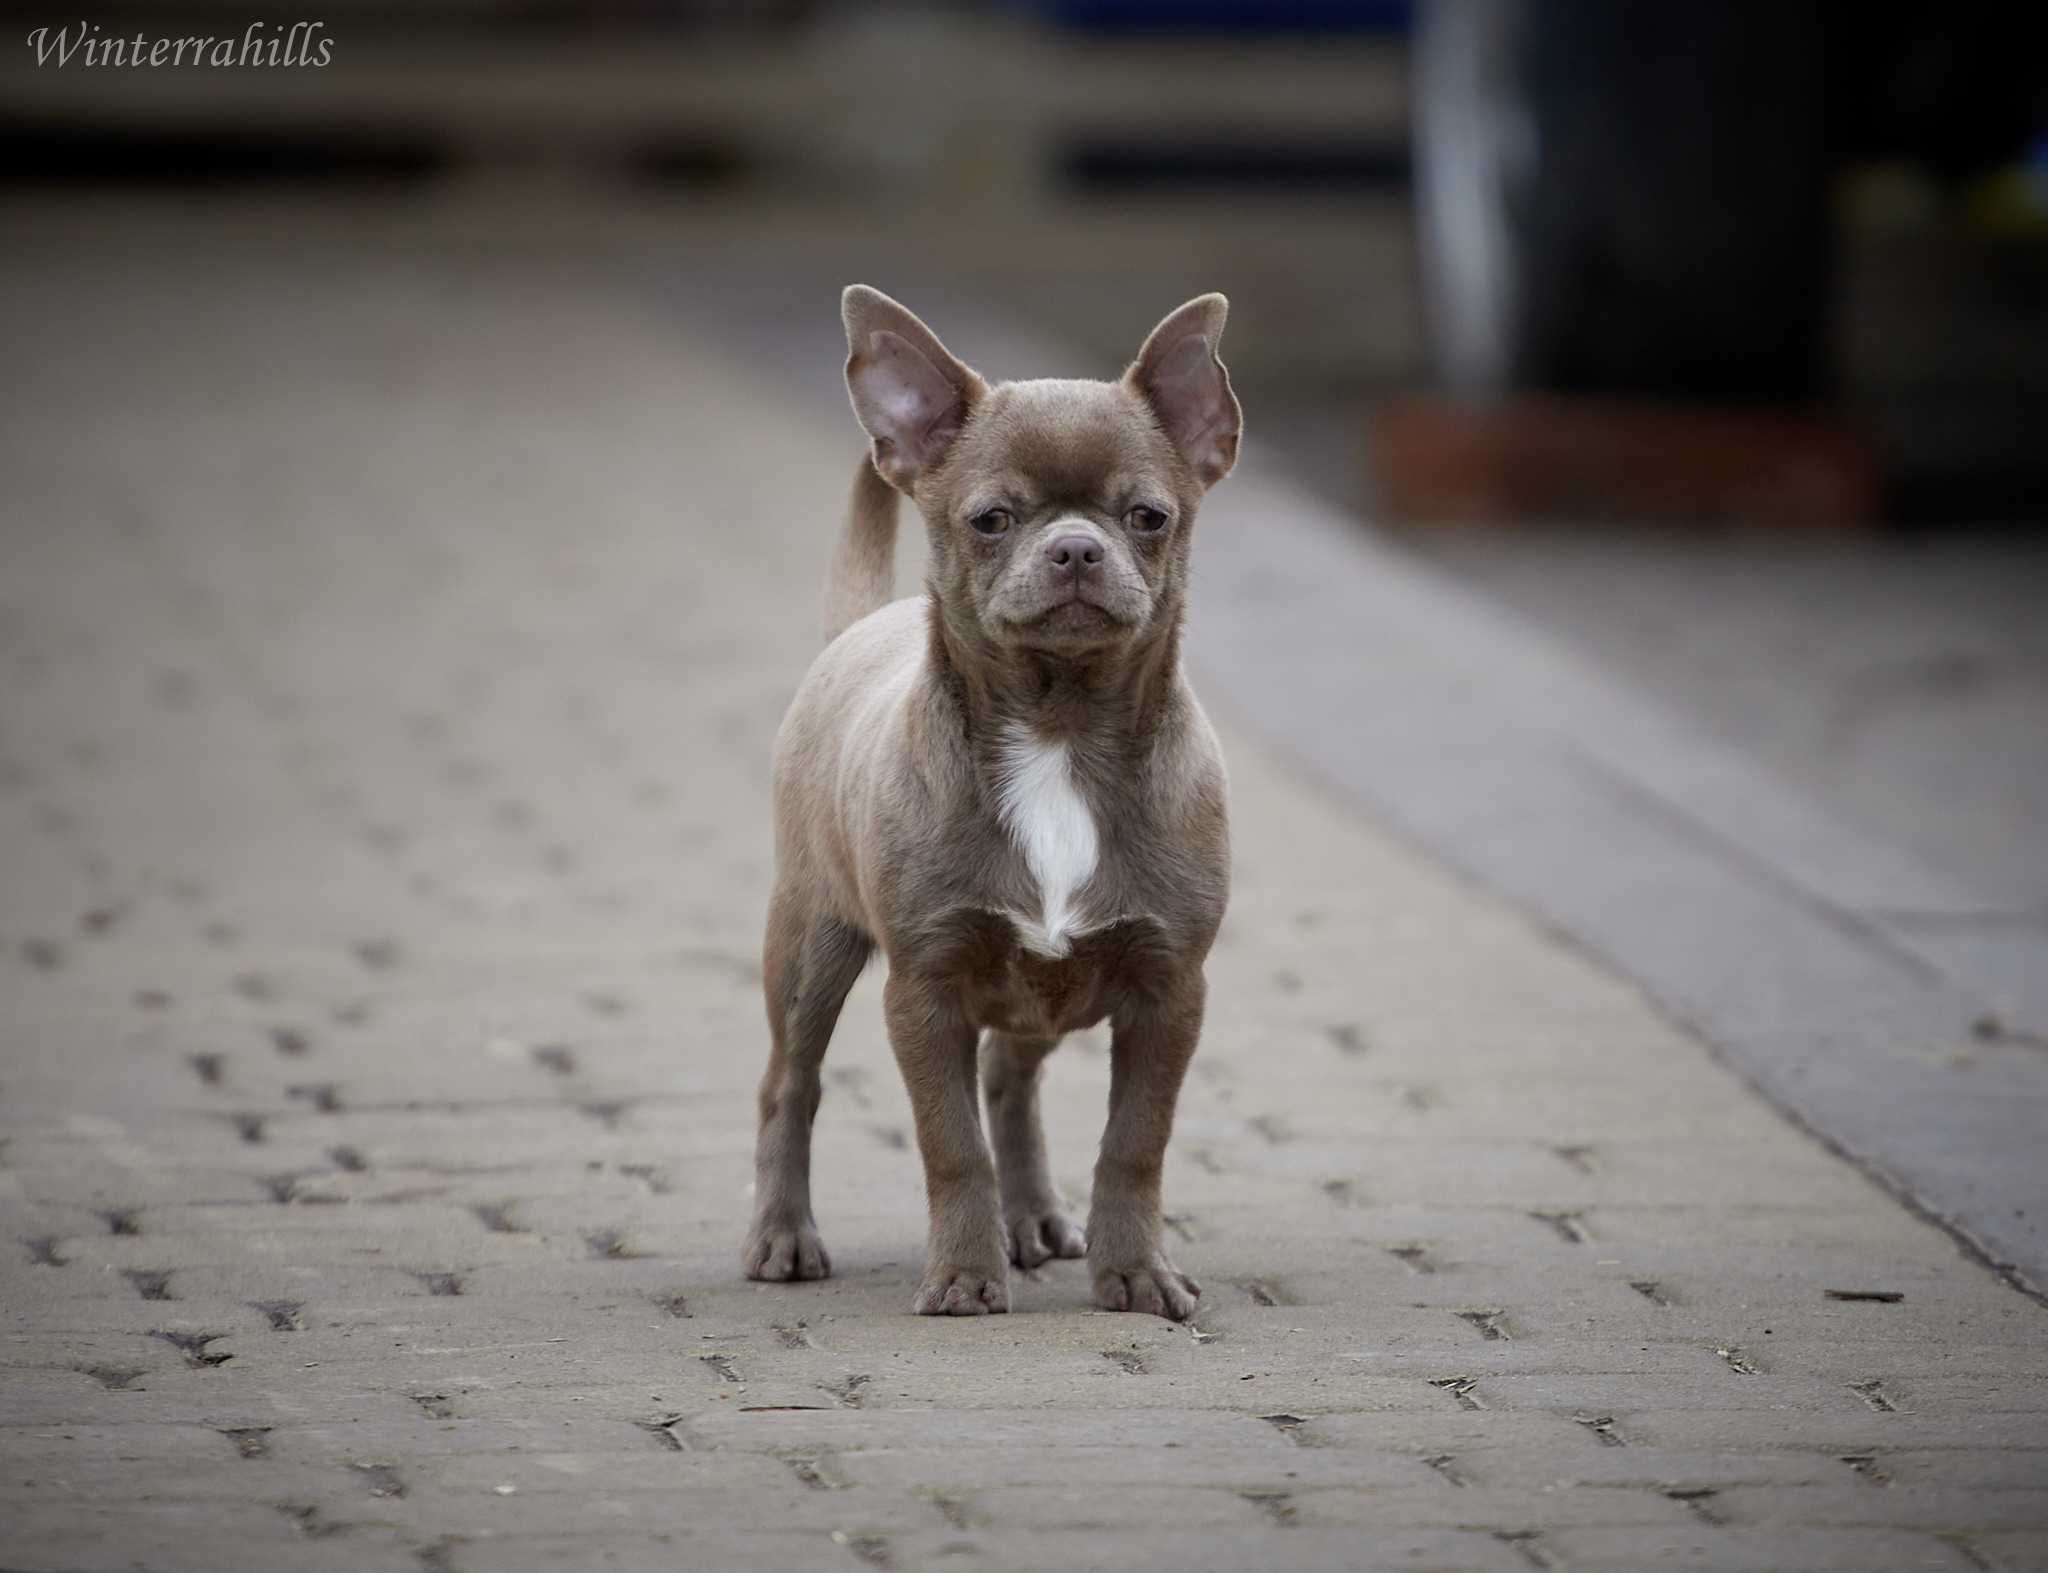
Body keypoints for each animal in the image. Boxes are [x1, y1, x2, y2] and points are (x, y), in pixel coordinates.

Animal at [745, 286, 1236, 1310]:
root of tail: (857, 628)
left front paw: (1135, 1271)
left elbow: (1135, 1142)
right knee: (790, 1084)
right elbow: (949, 1142)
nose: (1077, 546)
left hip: (1035, 992)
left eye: (1148, 515)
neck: (1059, 730)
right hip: (812, 941)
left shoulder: (1170, 991)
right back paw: (783, 1235)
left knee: (1014, 1080)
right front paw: (966, 1276)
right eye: (991, 519)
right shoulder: (924, 991)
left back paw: (1036, 1218)